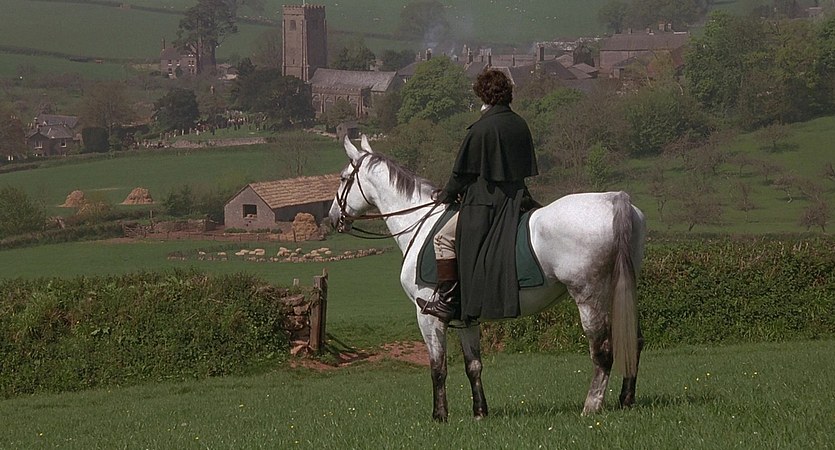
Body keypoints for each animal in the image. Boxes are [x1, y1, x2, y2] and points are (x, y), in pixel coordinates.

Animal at [329, 135, 647, 421]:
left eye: (344, 179)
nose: (332, 219)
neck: (421, 223)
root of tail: (615, 199)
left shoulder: (427, 316)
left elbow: (438, 367)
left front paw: (439, 416)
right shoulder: (465, 317)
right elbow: (473, 365)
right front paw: (480, 412)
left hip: (589, 297)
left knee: (603, 352)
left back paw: (591, 407)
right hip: (622, 291)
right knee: (634, 341)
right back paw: (626, 400)